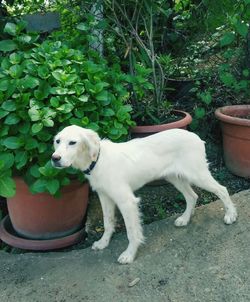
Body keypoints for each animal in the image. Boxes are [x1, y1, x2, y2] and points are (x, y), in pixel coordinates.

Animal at [51, 125, 237, 264]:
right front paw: (103, 243)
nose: (55, 158)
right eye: (58, 141)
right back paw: (185, 219)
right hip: (174, 177)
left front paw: (129, 254)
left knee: (222, 189)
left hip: (197, 174)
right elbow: (108, 222)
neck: (98, 160)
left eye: (73, 142)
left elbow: (131, 231)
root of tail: (195, 137)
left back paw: (231, 215)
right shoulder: (105, 197)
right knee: (192, 196)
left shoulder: (127, 201)